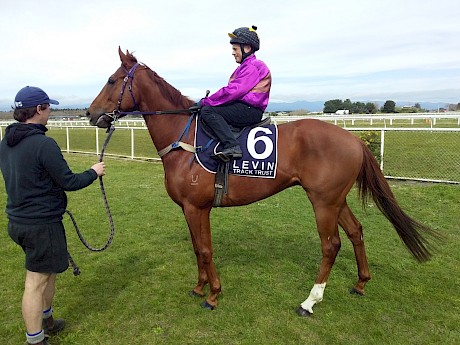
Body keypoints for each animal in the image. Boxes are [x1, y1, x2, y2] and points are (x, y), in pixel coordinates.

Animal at [86, 47, 434, 314]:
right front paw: (199, 287)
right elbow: (197, 249)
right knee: (356, 232)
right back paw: (360, 282)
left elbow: (206, 250)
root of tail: (355, 140)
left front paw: (213, 295)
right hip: (336, 199)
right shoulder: (187, 208)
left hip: (323, 201)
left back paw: (310, 301)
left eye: (112, 80)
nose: (90, 114)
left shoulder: (198, 207)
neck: (184, 139)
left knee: (331, 244)